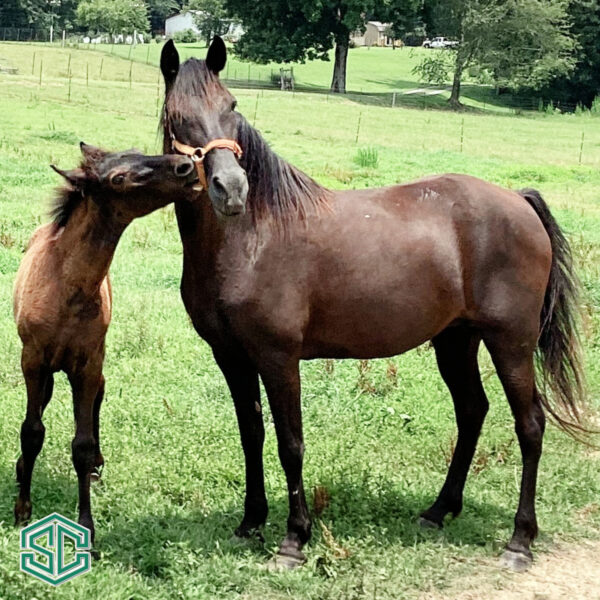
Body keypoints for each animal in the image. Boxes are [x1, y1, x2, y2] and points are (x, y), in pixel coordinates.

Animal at [13, 143, 197, 542]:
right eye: (118, 178)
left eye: (139, 151)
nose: (187, 165)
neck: (67, 290)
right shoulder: (32, 359)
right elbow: (31, 431)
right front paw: (22, 509)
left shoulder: (87, 361)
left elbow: (81, 445)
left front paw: (87, 527)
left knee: (98, 393)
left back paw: (98, 462)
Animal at [160, 37, 586, 570]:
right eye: (178, 115)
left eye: (232, 107)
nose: (231, 189)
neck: (250, 237)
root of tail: (517, 199)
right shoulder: (231, 357)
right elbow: (251, 435)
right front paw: (250, 523)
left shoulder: (279, 358)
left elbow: (290, 443)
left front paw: (294, 540)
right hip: (456, 341)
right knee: (472, 411)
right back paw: (438, 511)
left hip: (511, 341)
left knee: (530, 425)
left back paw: (519, 541)